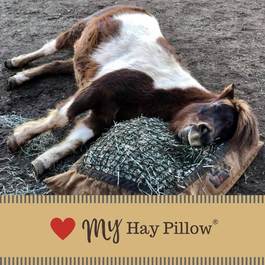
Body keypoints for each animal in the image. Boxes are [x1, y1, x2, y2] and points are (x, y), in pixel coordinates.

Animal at [4, 4, 258, 175]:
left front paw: (42, 162)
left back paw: (18, 78)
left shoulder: (104, 115)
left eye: (223, 135)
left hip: (83, 58)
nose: (203, 134)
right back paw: (14, 64)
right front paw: (18, 138)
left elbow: (76, 139)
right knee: (49, 48)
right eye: (215, 106)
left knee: (57, 64)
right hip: (75, 31)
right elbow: (61, 117)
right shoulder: (96, 90)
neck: (160, 88)